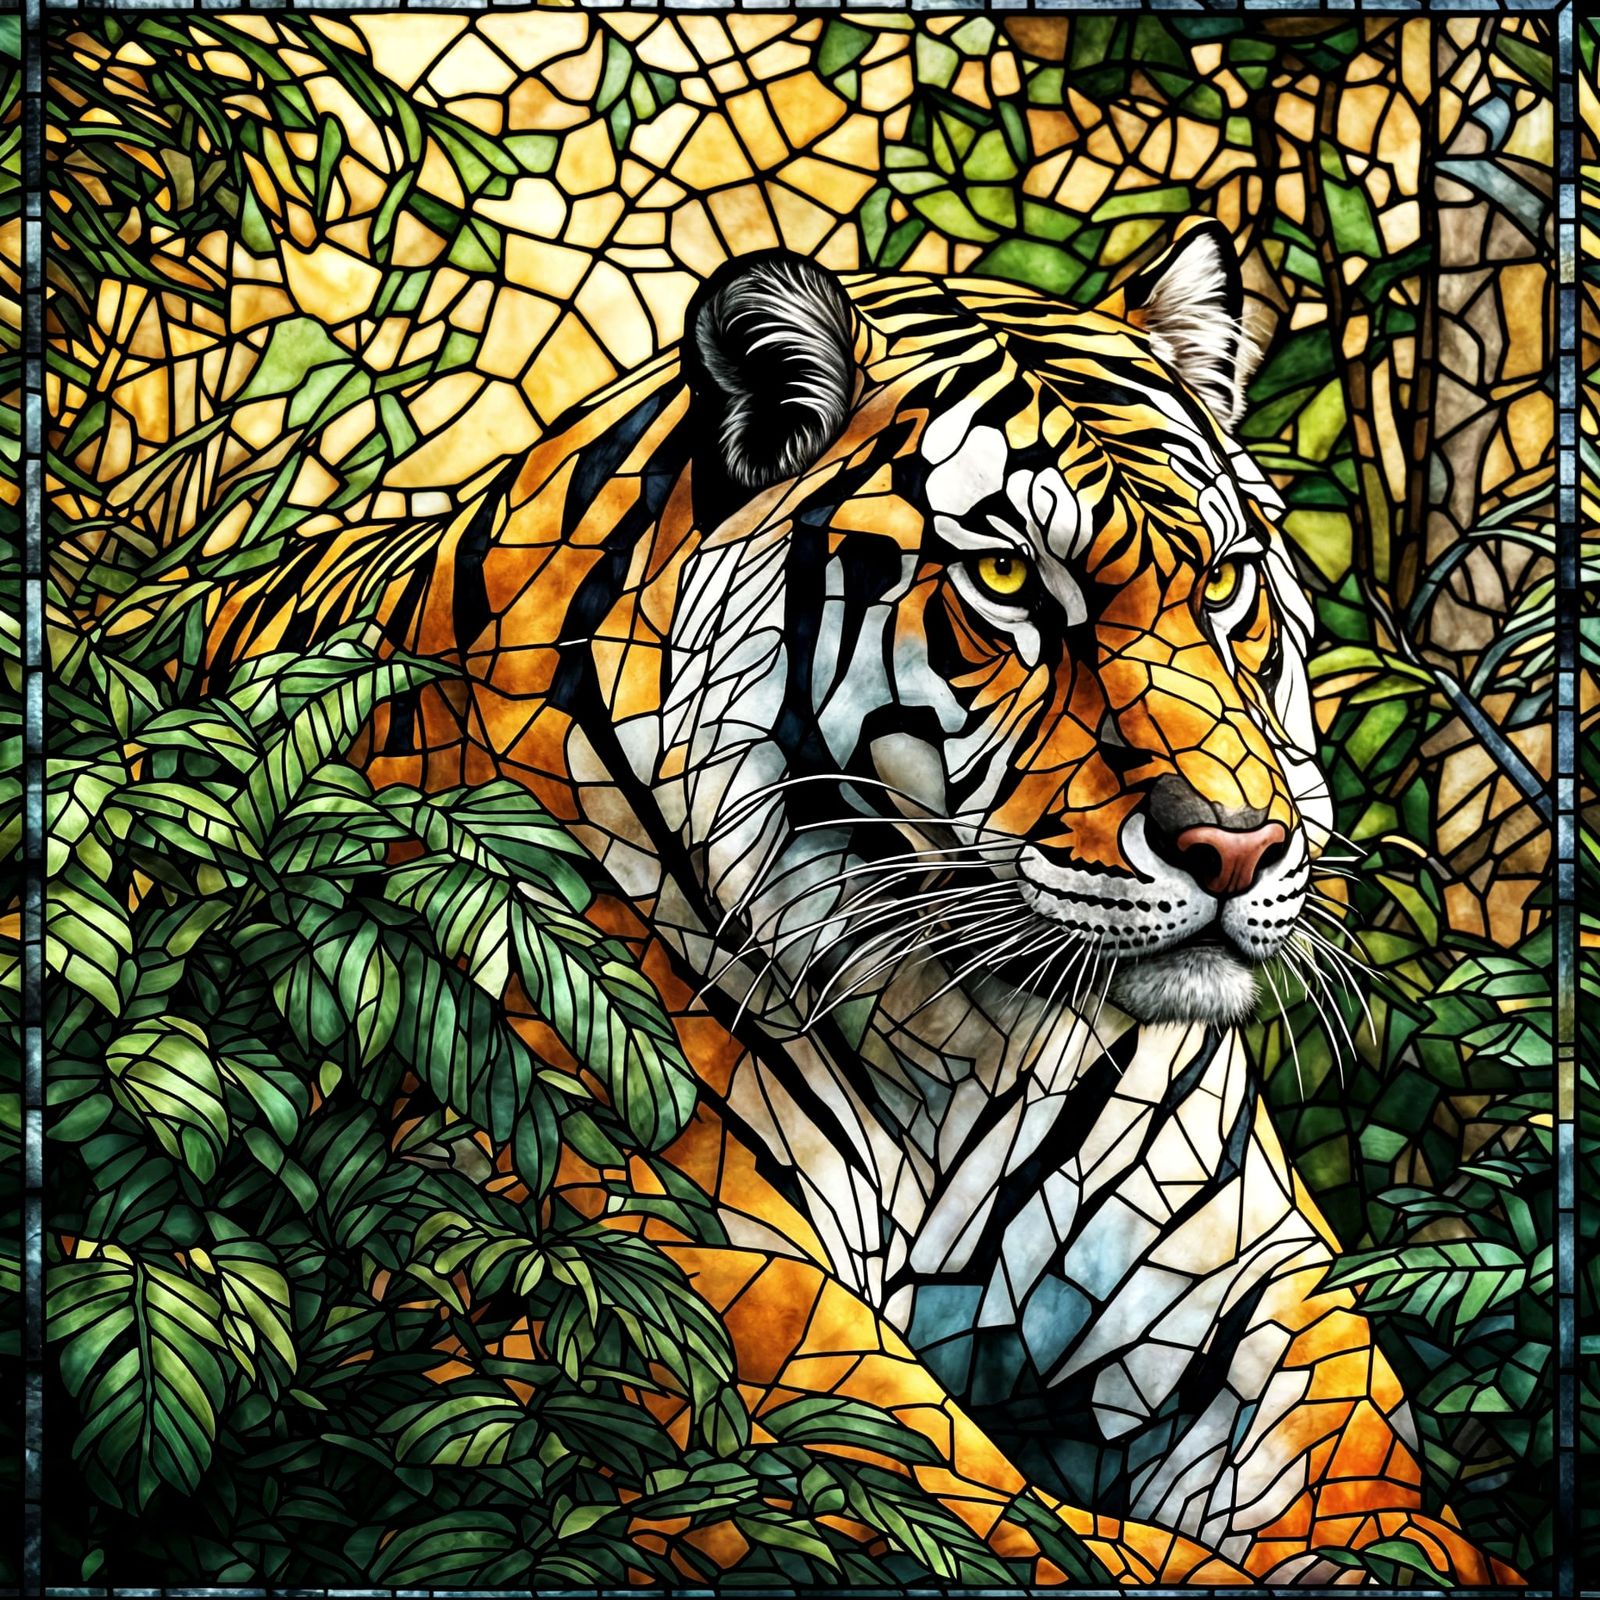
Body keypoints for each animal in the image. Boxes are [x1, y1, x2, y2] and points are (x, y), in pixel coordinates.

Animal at [207, 220, 1518, 1586]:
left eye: (1223, 582)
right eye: (1005, 578)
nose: (1236, 846)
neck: (964, 1030)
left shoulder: (1244, 1282)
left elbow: (1383, 1500)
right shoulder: (688, 1286)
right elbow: (1025, 1535)